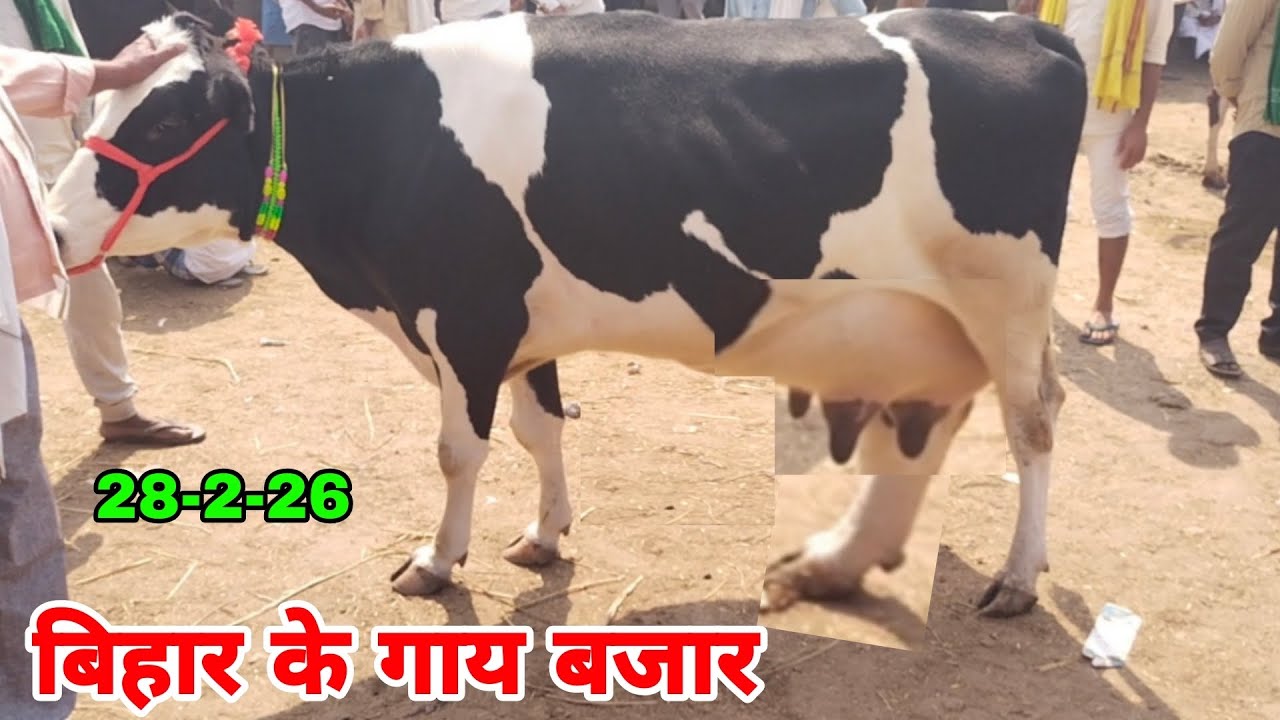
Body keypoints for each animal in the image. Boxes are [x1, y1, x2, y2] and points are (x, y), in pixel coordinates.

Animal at [48, 9, 1086, 618]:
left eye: (166, 123)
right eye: (99, 101)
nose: (52, 230)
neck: (384, 141)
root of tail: (1023, 30)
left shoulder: (465, 320)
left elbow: (459, 452)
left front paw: (439, 560)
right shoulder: (518, 328)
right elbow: (538, 429)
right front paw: (545, 537)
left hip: (1007, 297)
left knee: (1033, 422)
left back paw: (1015, 578)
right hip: (924, 314)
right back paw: (840, 562)